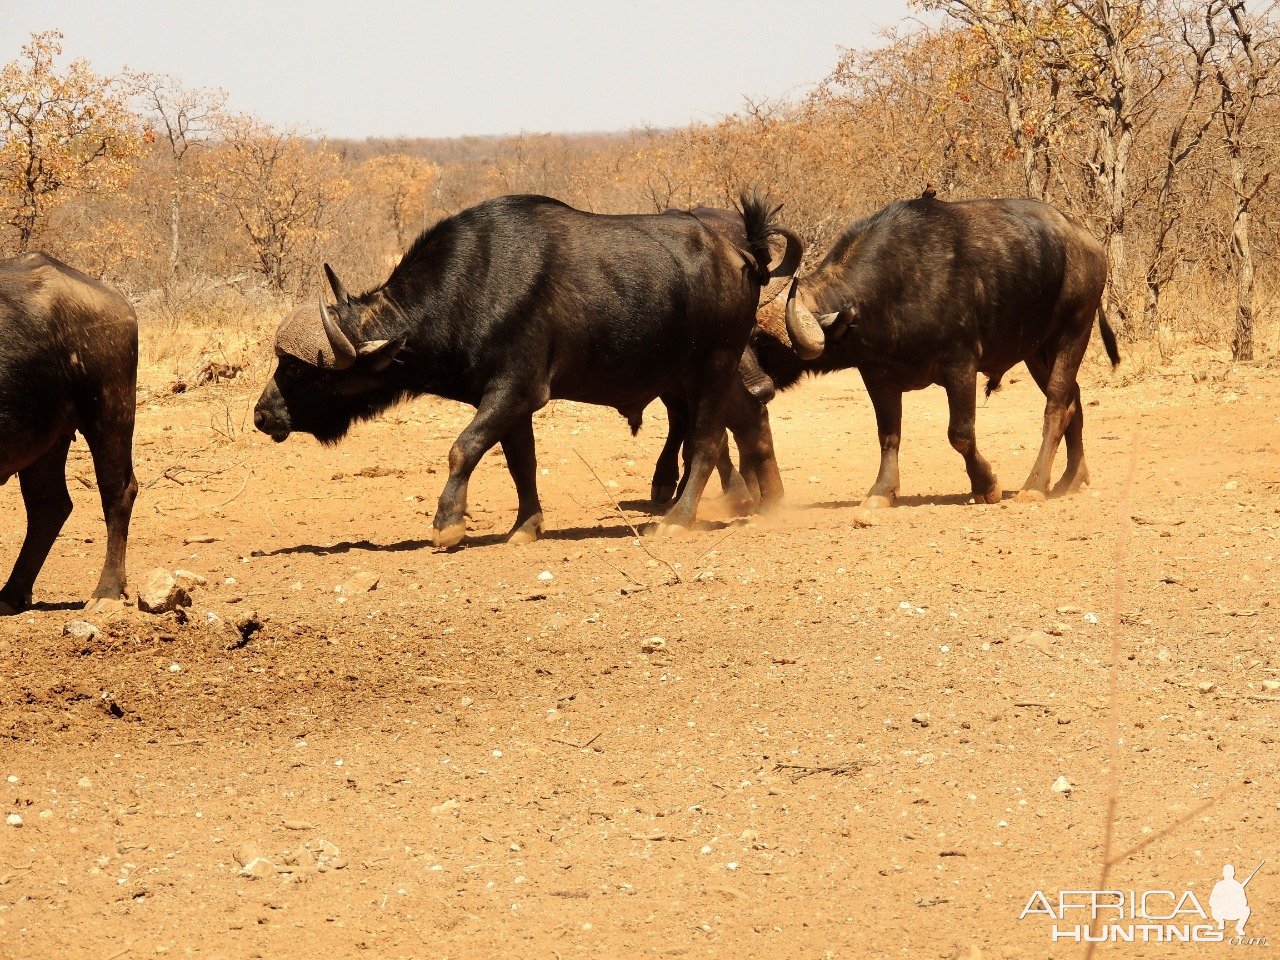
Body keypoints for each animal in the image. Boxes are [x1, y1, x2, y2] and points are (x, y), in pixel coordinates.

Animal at [0, 253, 140, 616]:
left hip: (110, 411)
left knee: (118, 492)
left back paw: (107, 591)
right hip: (45, 441)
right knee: (49, 506)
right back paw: (10, 593)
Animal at [253, 192, 783, 547]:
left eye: (297, 370)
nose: (262, 415)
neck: (473, 283)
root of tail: (742, 257)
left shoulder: (515, 392)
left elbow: (463, 448)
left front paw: (449, 523)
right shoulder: (510, 404)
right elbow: (519, 463)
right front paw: (526, 525)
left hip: (711, 370)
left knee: (707, 441)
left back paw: (679, 517)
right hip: (702, 376)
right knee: (751, 415)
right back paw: (771, 502)